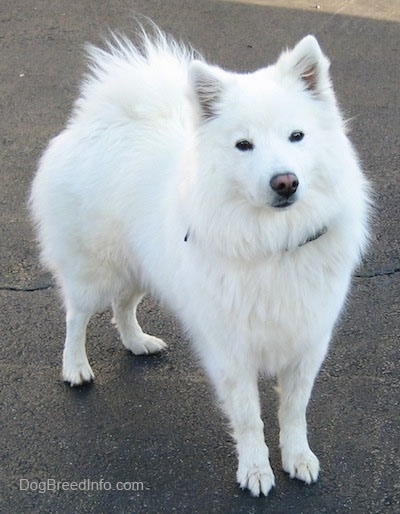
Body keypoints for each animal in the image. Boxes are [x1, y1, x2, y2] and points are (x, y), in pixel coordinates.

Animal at [29, 27, 370, 492]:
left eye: (296, 136)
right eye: (244, 145)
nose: (285, 182)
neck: (272, 241)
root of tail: (101, 118)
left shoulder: (307, 340)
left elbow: (294, 410)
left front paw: (298, 458)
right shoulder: (231, 348)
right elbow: (248, 418)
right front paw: (255, 470)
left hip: (143, 265)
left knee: (122, 306)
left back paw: (138, 343)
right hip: (95, 270)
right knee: (76, 316)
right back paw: (76, 367)